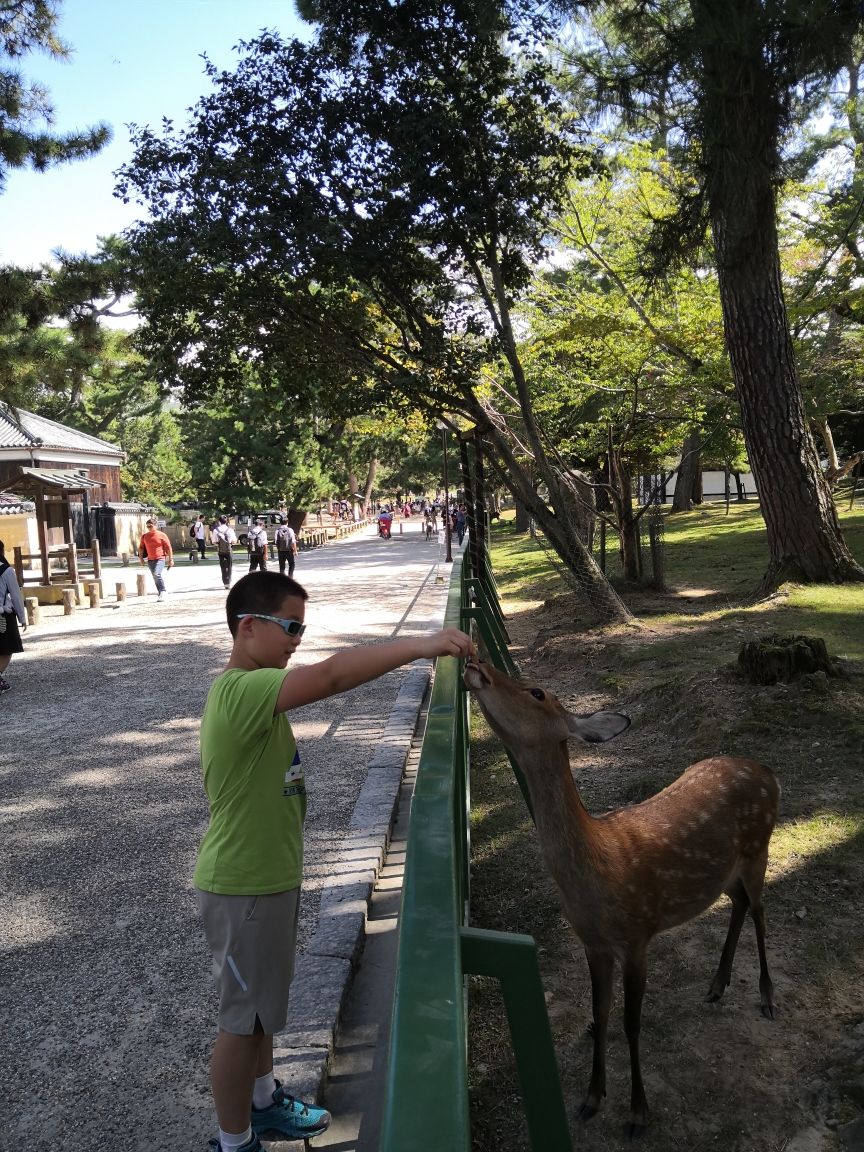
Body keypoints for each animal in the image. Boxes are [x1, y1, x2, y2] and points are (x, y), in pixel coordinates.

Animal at [463, 663, 783, 1138]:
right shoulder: (593, 943)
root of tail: (768, 771)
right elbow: (600, 1011)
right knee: (741, 904)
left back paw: (766, 996)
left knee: (761, 910)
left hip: (759, 848)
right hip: (722, 874)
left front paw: (637, 1112)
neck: (598, 874)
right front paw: (591, 1098)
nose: (477, 665)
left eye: (537, 692)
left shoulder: (637, 935)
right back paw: (716, 985)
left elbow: (632, 1022)